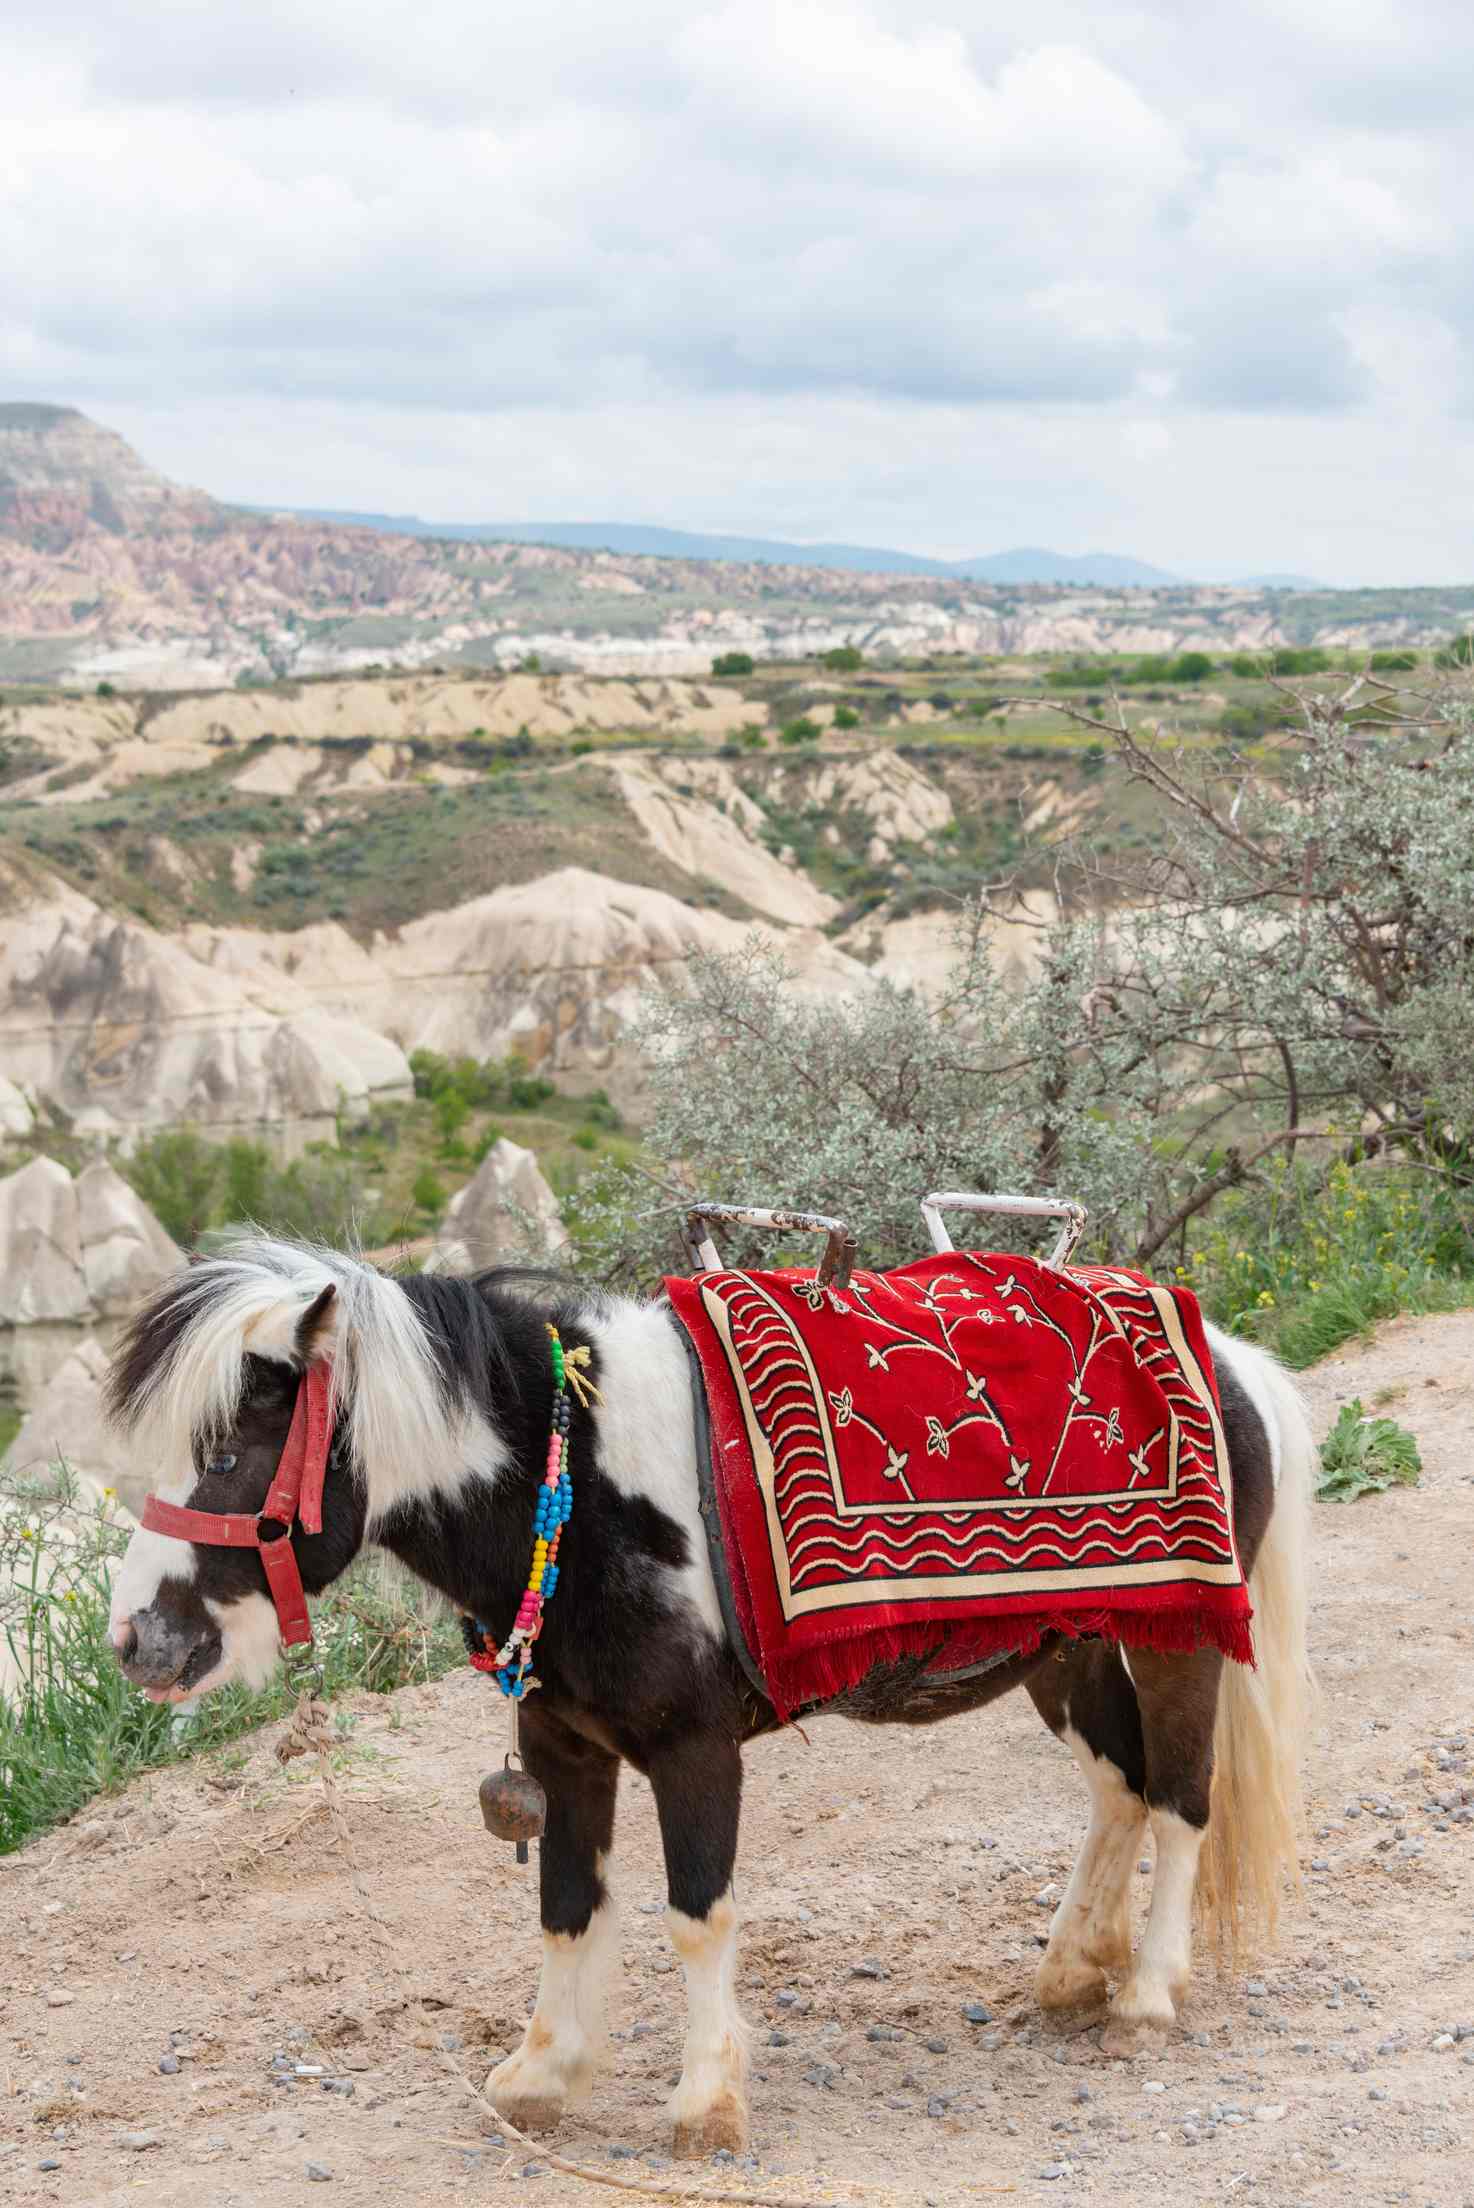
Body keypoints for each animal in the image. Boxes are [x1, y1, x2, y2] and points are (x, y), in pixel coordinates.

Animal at [106, 1245, 1315, 2155]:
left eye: (228, 1453)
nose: (135, 1639)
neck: (575, 1483)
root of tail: (1234, 1361)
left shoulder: (695, 1751)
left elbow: (697, 1916)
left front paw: (704, 2103)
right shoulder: (562, 1748)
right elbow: (565, 1906)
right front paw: (541, 2076)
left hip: (1177, 1645)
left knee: (1181, 1798)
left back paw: (1145, 1995)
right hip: (1065, 1654)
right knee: (1121, 1788)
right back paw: (1070, 1970)